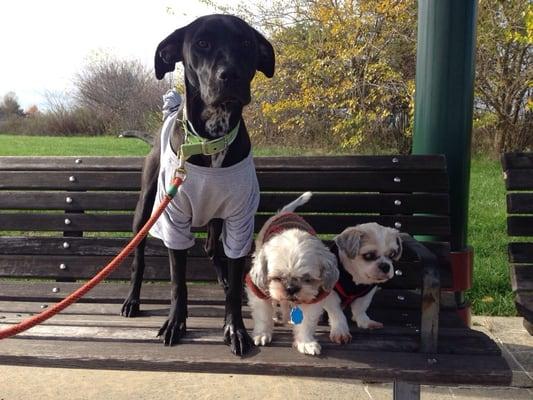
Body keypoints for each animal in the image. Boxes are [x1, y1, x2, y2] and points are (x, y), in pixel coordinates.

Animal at [120, 14, 274, 356]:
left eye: (246, 43)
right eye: (202, 43)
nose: (229, 75)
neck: (211, 138)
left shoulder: (240, 220)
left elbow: (234, 275)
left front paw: (235, 329)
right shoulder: (174, 220)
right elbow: (179, 283)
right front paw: (175, 324)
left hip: (217, 217)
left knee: (212, 247)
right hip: (145, 209)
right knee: (138, 259)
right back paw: (132, 300)